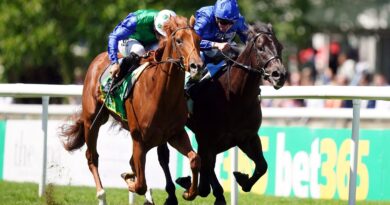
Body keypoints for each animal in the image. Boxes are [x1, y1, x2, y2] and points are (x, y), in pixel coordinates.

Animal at [60, 16, 204, 205]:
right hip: (92, 121)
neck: (161, 93)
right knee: (92, 156)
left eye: (198, 40)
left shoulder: (176, 134)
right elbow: (140, 184)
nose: (197, 66)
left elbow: (195, 159)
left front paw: (189, 192)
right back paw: (102, 194)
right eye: (179, 40)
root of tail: (99, 58)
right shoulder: (139, 139)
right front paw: (130, 181)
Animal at [157, 21, 288, 204]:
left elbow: (262, 166)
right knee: (164, 157)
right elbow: (206, 173)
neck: (235, 96)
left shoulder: (247, 137)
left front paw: (242, 179)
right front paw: (192, 186)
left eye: (280, 46)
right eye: (260, 48)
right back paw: (171, 194)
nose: (279, 75)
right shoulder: (207, 138)